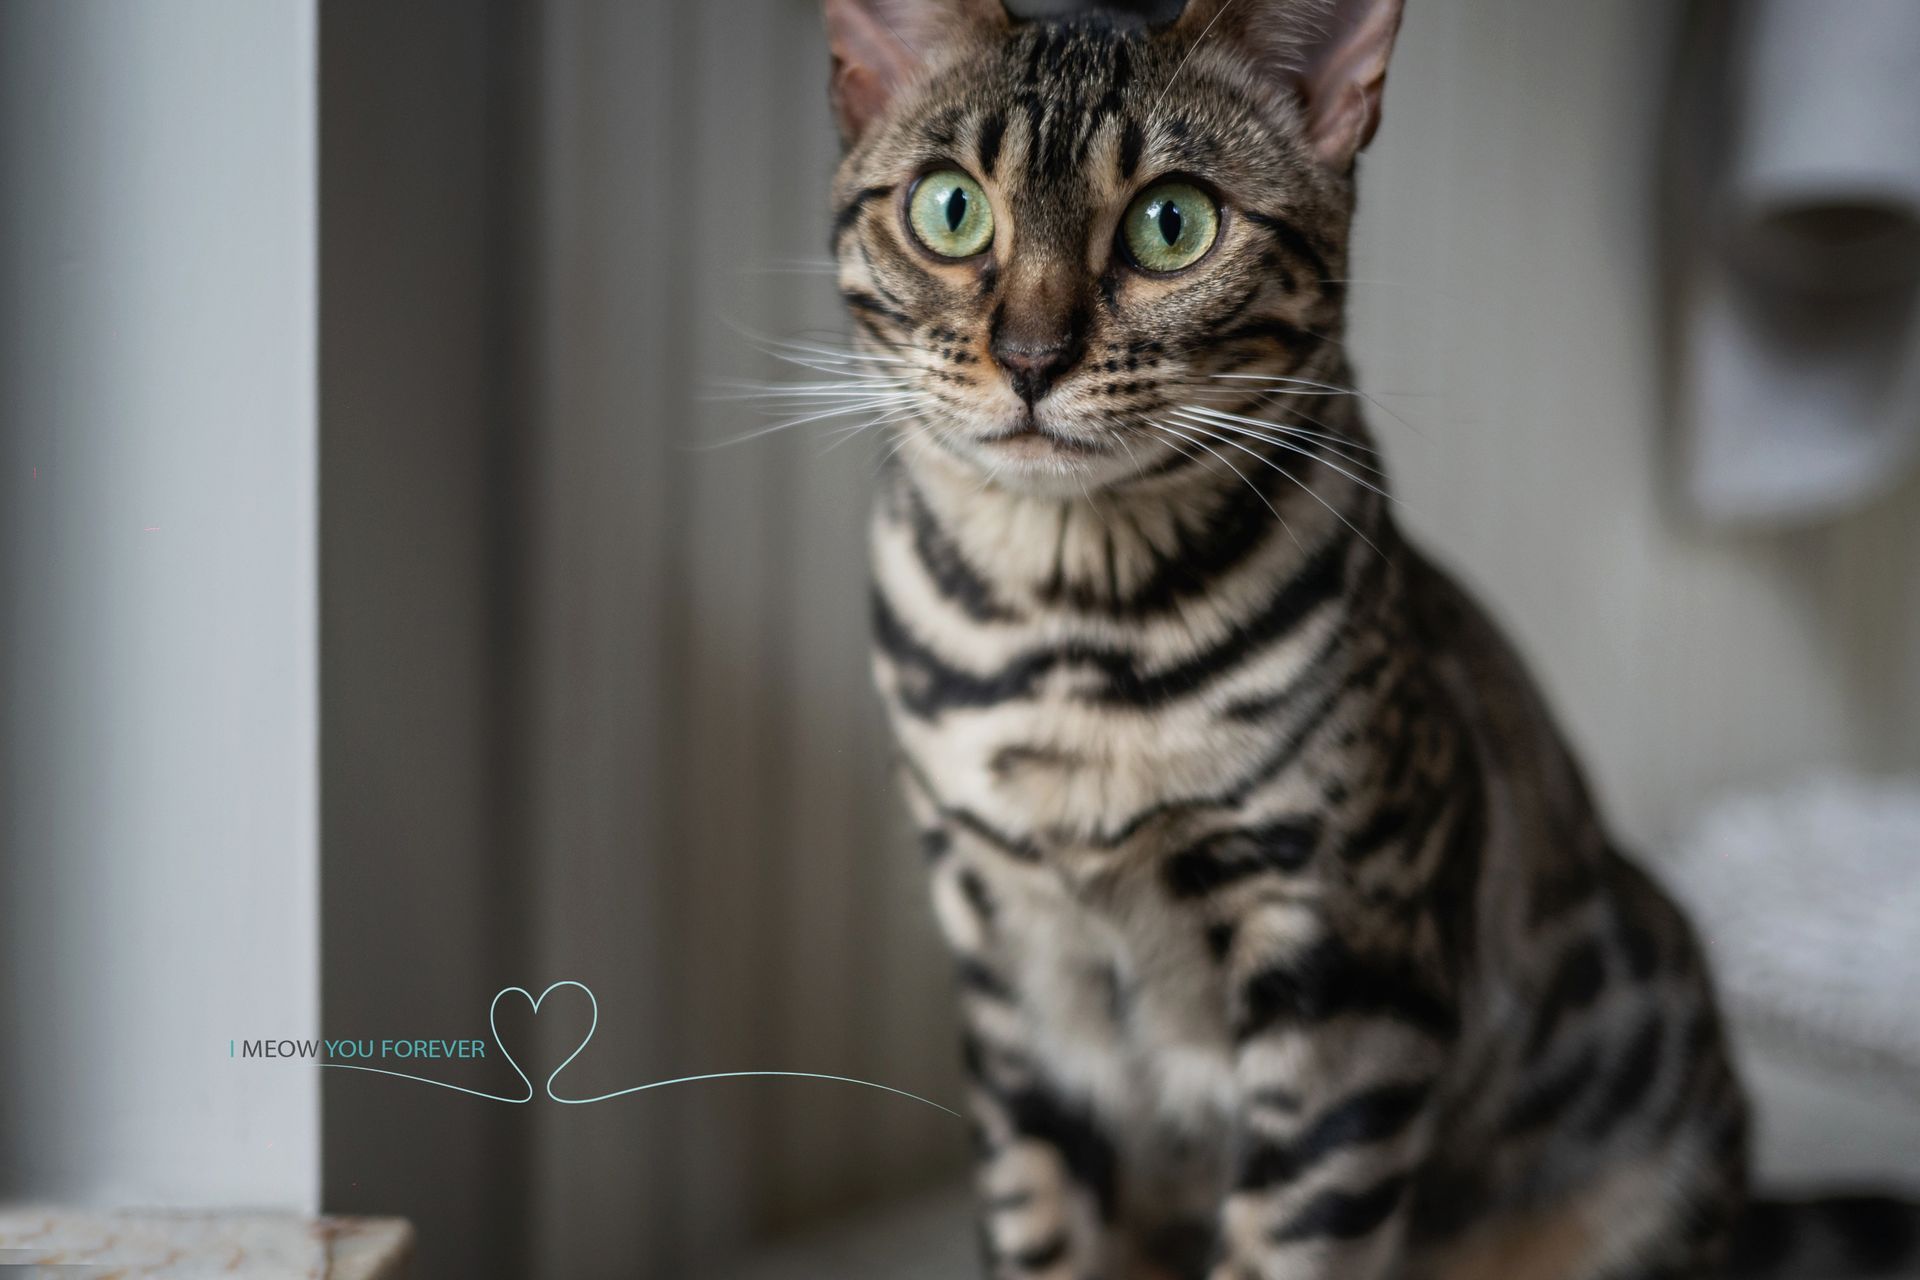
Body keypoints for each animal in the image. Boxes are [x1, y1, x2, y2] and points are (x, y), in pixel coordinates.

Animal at [814, 5, 1920, 1274]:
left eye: (1171, 223)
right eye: (950, 208)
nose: (1032, 357)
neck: (1066, 636)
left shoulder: (1347, 969)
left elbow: (1291, 1231)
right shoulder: (1013, 983)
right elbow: (1038, 1221)